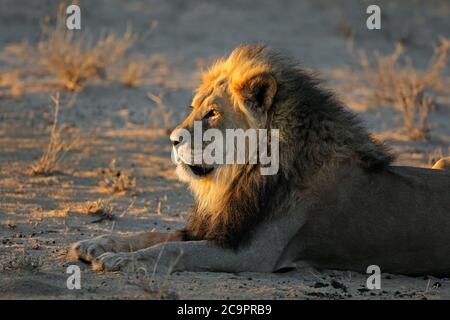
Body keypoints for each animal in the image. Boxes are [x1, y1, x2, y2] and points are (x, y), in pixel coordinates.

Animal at [69, 45, 450, 278]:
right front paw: (97, 244)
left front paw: (120, 260)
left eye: (212, 113)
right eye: (193, 107)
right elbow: (152, 235)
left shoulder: (253, 253)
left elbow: (173, 250)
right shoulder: (220, 227)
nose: (173, 139)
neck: (238, 177)